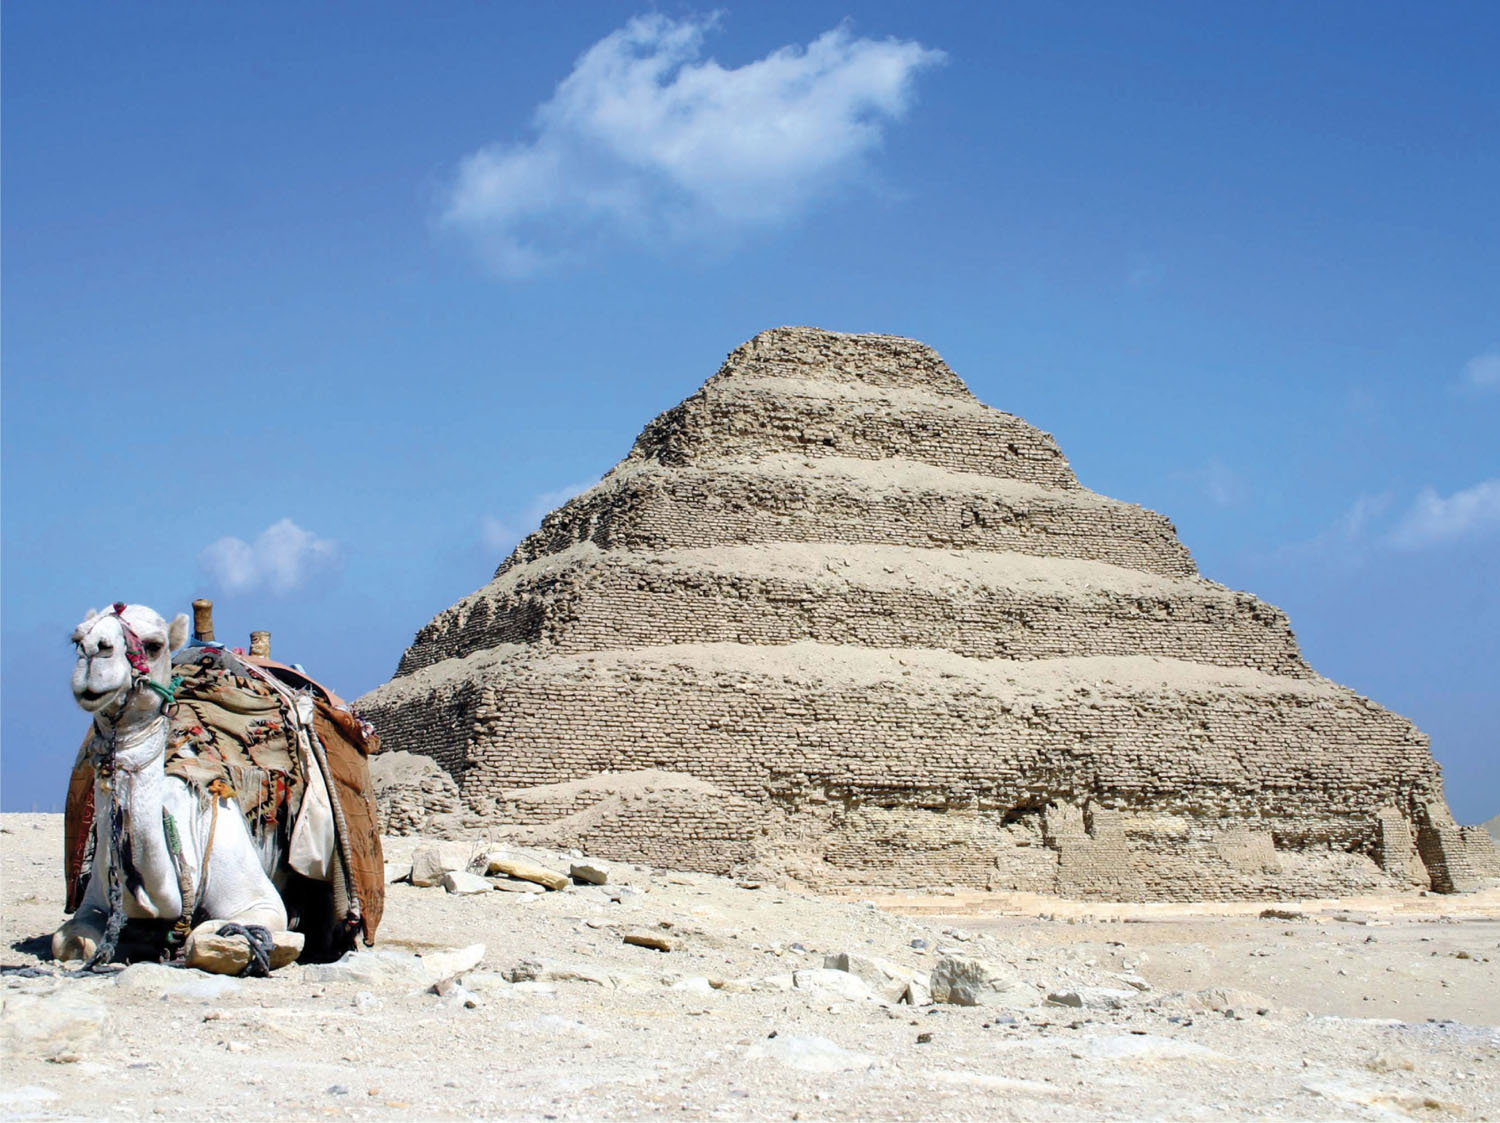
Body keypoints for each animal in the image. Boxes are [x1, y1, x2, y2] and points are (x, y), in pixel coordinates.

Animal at [53, 605, 366, 971]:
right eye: (77, 638)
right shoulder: (93, 901)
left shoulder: (258, 900)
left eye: (154, 644)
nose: (93, 654)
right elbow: (67, 941)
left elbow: (203, 937)